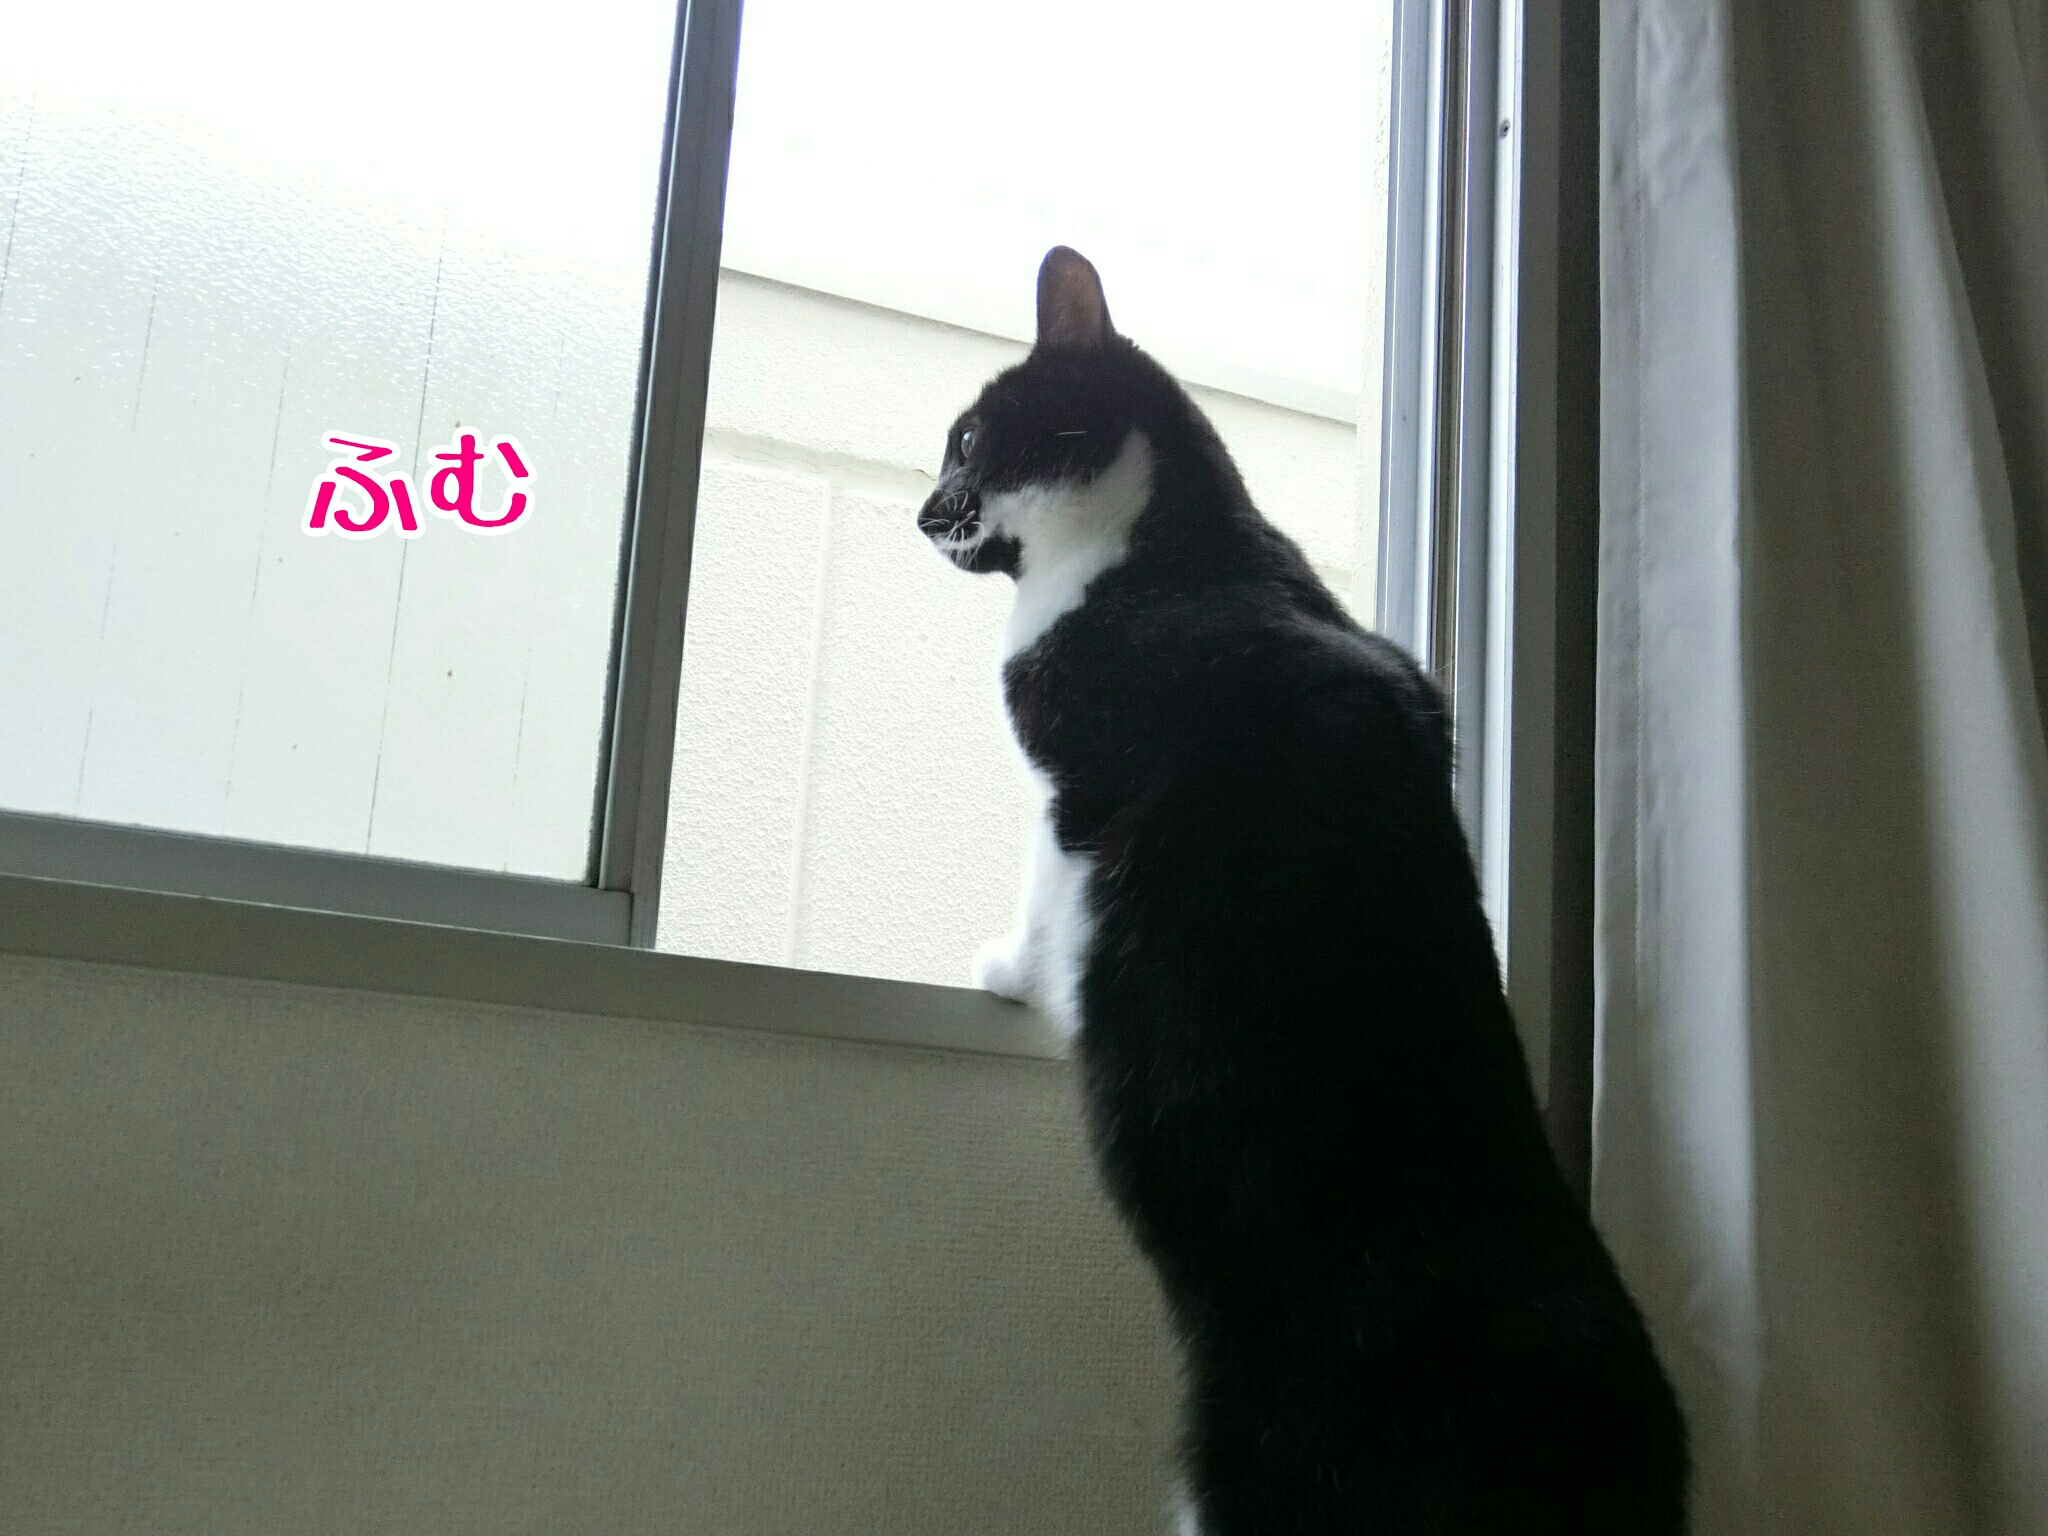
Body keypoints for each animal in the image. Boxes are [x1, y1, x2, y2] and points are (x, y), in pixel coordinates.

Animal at [917, 247, 1687, 1535]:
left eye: (967, 440)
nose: (925, 511)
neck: (1180, 541)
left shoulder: (1081, 780)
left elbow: (1045, 888)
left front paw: (1008, 972)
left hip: (1253, 1470)